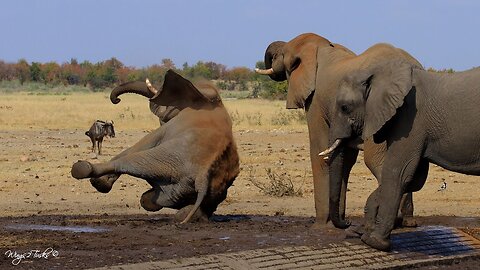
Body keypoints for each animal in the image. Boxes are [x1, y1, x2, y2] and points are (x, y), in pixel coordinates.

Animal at [71, 69, 240, 224]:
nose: (116, 99)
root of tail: (202, 178)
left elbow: (141, 144)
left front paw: (100, 182)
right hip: (185, 186)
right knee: (158, 200)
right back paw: (180, 214)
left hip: (167, 158)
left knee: (132, 161)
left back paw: (85, 171)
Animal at [256, 33, 422, 228]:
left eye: (280, 54)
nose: (348, 222)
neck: (320, 47)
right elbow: (346, 160)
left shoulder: (315, 102)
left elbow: (319, 151)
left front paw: (320, 226)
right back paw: (407, 222)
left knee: (378, 162)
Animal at [326, 58, 480, 252]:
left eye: (345, 107)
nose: (347, 222)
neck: (379, 73)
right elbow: (414, 179)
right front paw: (365, 230)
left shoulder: (410, 121)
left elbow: (397, 173)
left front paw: (374, 242)